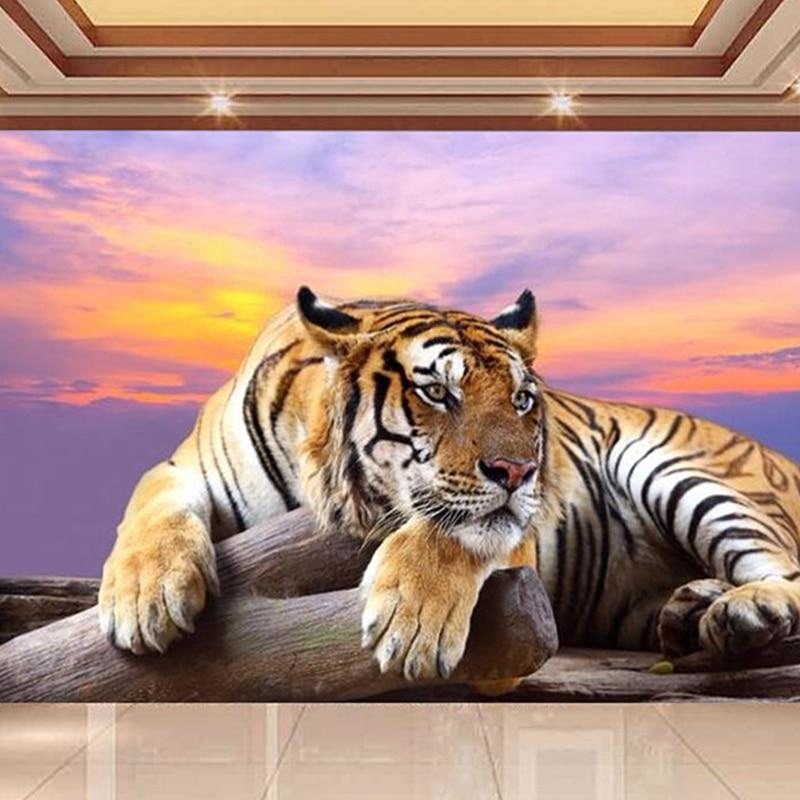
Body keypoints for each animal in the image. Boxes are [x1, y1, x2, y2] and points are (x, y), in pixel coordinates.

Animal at [99, 287, 800, 685]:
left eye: (521, 400)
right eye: (438, 392)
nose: (520, 472)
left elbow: (453, 532)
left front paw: (412, 627)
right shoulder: (184, 467)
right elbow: (150, 504)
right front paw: (144, 600)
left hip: (675, 468)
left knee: (787, 574)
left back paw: (742, 611)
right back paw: (690, 611)